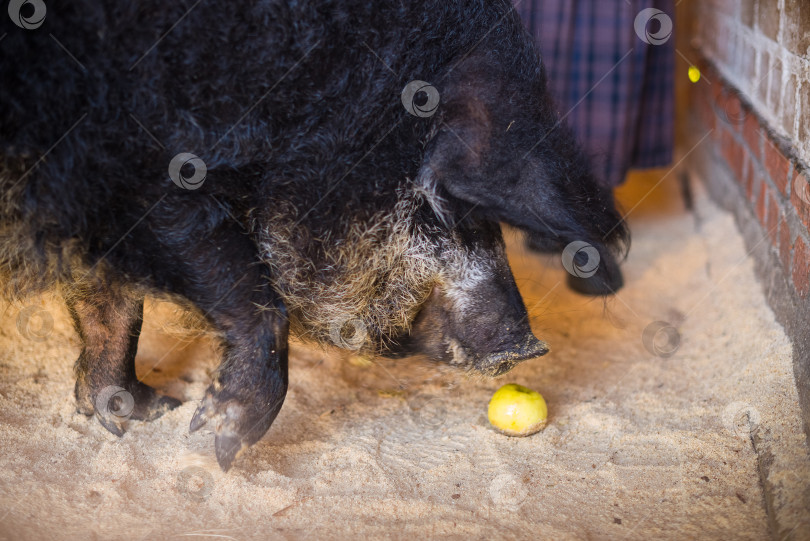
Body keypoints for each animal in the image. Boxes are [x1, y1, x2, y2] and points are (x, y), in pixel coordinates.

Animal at [0, 0, 628, 468]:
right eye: (438, 207)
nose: (528, 346)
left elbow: (114, 306)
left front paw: (153, 412)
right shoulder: (131, 171)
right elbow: (233, 280)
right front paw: (215, 441)